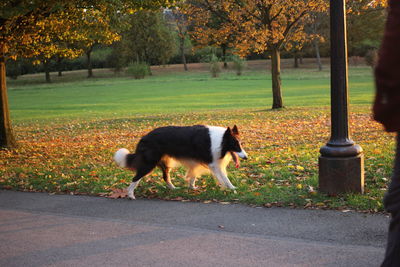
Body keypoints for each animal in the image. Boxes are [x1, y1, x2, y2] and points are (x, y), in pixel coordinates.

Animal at [114, 125, 248, 199]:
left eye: (241, 143)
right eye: (235, 145)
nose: (246, 157)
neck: (220, 140)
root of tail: (144, 138)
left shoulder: (197, 161)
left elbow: (193, 175)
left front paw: (192, 187)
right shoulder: (214, 164)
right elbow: (224, 177)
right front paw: (231, 188)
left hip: (165, 163)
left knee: (165, 176)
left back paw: (173, 188)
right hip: (149, 163)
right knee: (136, 178)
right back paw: (130, 194)